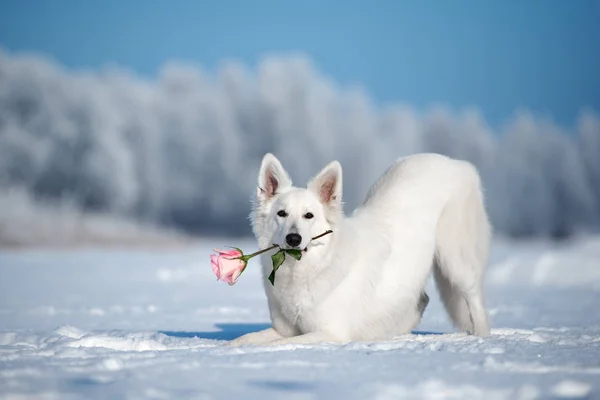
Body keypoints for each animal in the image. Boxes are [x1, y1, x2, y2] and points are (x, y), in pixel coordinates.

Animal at [231, 153, 492, 346]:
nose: (293, 239)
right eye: (281, 213)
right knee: (422, 300)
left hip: (455, 262)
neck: (308, 268)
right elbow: (246, 338)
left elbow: (276, 344)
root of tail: (459, 164)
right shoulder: (284, 329)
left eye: (309, 215)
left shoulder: (329, 333)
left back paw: (482, 337)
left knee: (475, 300)